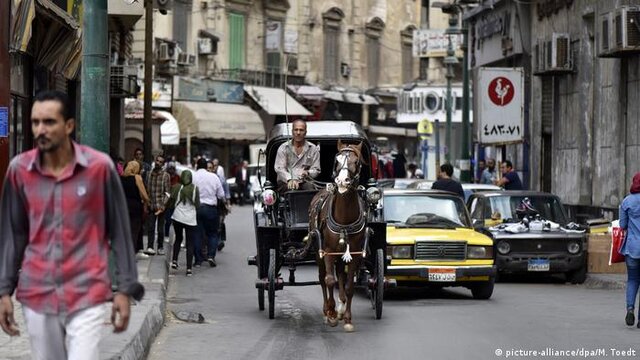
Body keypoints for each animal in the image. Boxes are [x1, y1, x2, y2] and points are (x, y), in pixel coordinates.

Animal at [308, 140, 368, 332]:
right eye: (337, 160)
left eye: (357, 162)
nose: (342, 181)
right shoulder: (327, 251)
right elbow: (329, 280)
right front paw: (331, 313)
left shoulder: (355, 253)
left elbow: (349, 286)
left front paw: (347, 318)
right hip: (319, 251)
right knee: (322, 278)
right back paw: (327, 310)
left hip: (342, 252)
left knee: (341, 273)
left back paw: (341, 307)